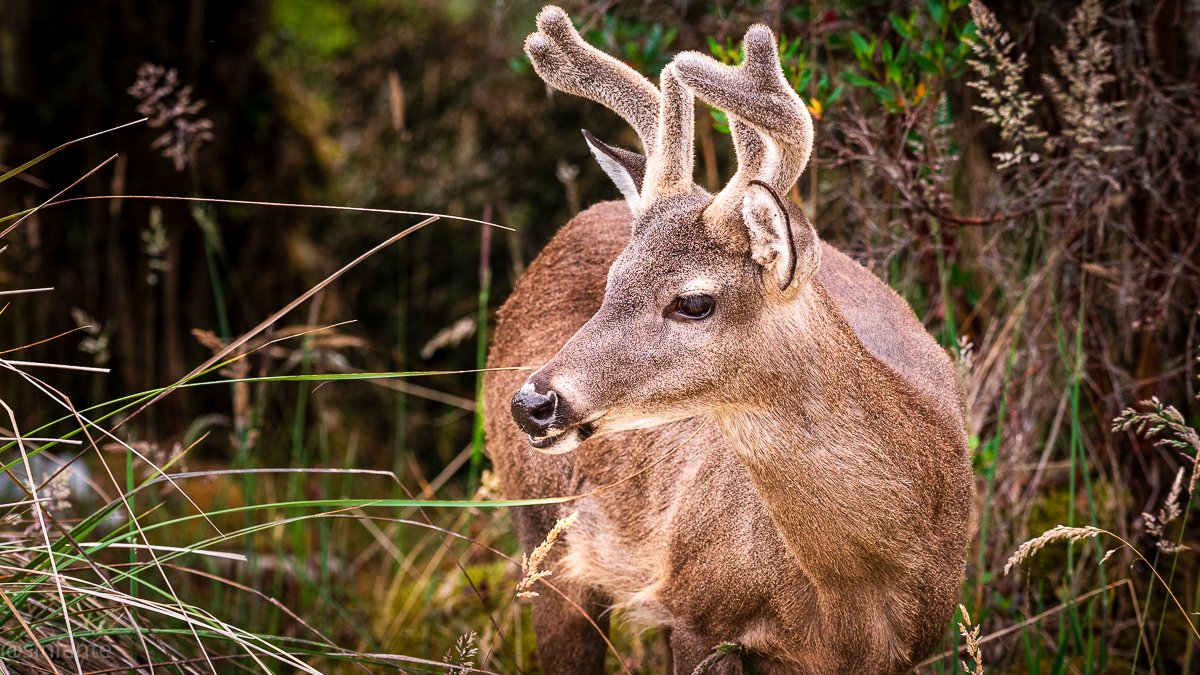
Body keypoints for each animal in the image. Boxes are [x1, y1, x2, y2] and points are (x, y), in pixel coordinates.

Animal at [483, 6, 973, 674]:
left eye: (694, 302)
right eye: (613, 281)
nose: (533, 402)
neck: (856, 589)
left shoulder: (912, 645)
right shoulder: (697, 610)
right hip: (545, 541)